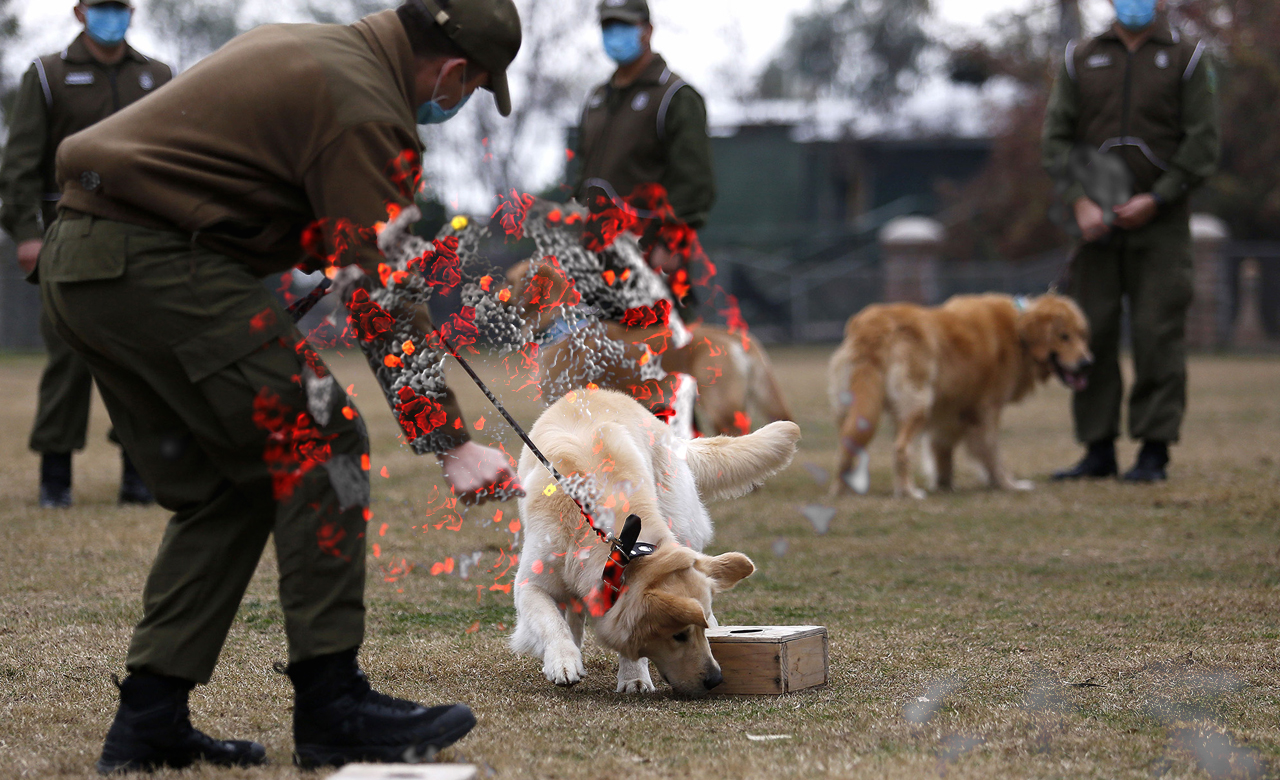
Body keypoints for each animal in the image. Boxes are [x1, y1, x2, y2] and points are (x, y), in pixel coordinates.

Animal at [509, 386, 798, 691]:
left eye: (698, 631)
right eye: (678, 635)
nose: (716, 679)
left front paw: (633, 676)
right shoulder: (530, 584)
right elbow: (551, 621)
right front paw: (563, 660)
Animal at [829, 292, 1090, 499]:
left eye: (1081, 335)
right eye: (1064, 336)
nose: (1087, 363)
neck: (1018, 332)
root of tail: (875, 326)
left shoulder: (949, 414)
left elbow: (942, 452)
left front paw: (944, 485)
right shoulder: (986, 411)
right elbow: (992, 452)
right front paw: (1008, 484)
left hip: (857, 410)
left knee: (847, 446)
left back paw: (842, 490)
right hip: (918, 404)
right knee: (901, 449)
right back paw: (908, 492)